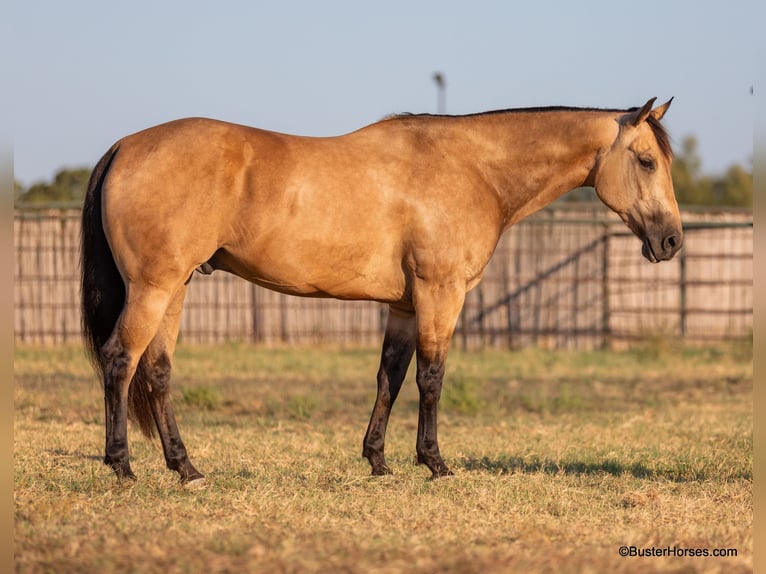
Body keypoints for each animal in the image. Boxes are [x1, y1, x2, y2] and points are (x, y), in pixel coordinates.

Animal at [81, 98, 682, 485]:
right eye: (646, 161)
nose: (672, 240)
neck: (473, 169)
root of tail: (125, 146)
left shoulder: (404, 305)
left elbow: (389, 377)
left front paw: (377, 461)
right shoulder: (441, 294)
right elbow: (431, 377)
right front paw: (435, 463)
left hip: (174, 288)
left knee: (157, 372)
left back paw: (186, 468)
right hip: (152, 287)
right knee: (120, 361)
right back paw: (122, 466)